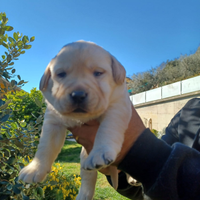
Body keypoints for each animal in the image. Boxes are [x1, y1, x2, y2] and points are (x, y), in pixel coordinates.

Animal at [18, 40, 133, 198]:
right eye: (61, 74)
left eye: (98, 73)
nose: (78, 95)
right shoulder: (53, 121)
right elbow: (45, 146)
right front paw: (34, 169)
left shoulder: (117, 105)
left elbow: (107, 129)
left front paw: (100, 152)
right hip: (84, 161)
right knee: (88, 179)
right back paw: (82, 196)